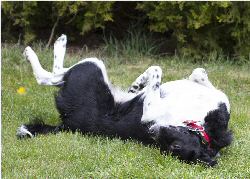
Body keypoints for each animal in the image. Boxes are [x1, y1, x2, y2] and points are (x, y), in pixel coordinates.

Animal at [17, 34, 232, 166]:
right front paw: (137, 85)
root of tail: (67, 123)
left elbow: (157, 69)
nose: (151, 131)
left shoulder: (150, 112)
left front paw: (141, 83)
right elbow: (198, 72)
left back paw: (48, 46)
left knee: (51, 76)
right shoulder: (213, 95)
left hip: (90, 68)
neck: (204, 123)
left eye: (175, 147)